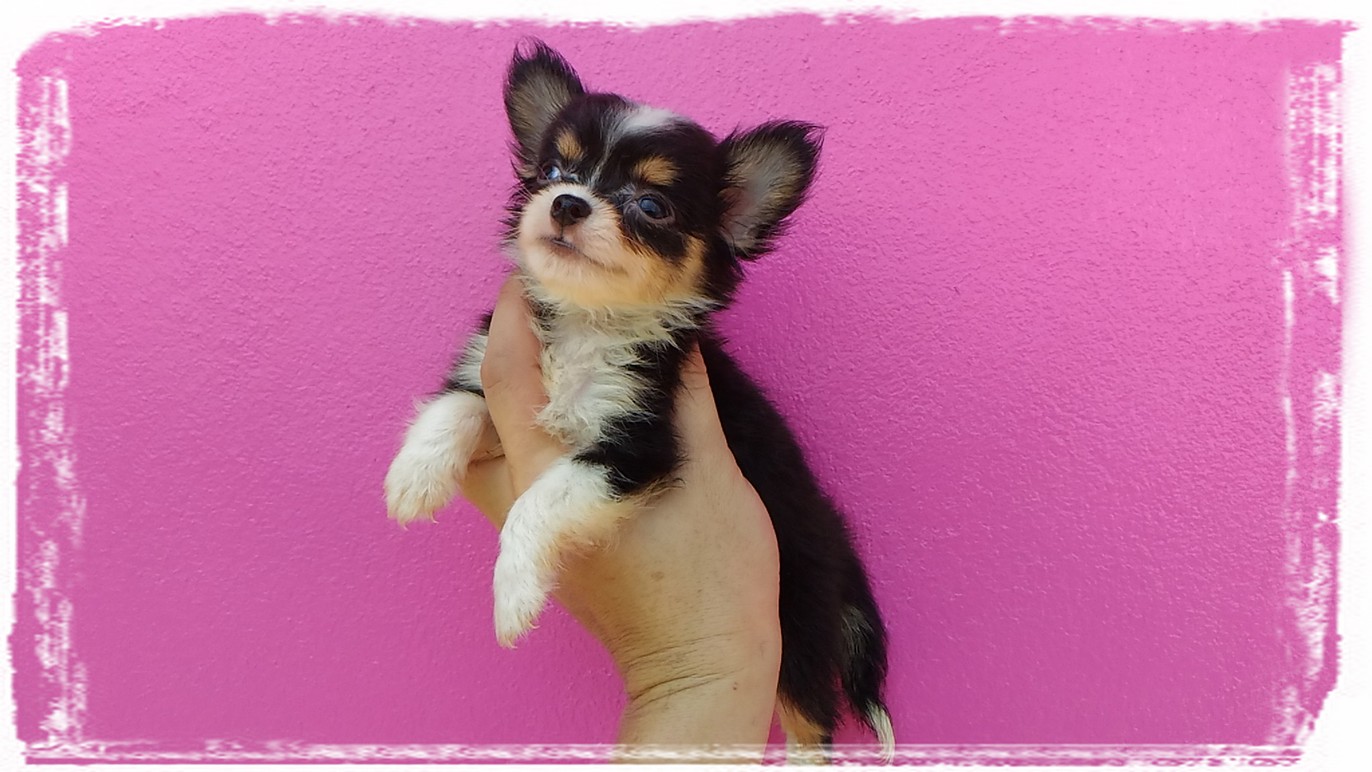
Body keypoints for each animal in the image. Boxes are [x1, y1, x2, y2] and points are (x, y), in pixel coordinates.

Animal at [385, 41, 893, 761]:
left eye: (651, 206)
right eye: (553, 170)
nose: (567, 202)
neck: (587, 326)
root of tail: (839, 549)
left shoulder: (637, 447)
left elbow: (538, 502)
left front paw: (512, 595)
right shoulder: (489, 362)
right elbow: (453, 403)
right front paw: (413, 479)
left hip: (793, 618)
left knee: (811, 721)